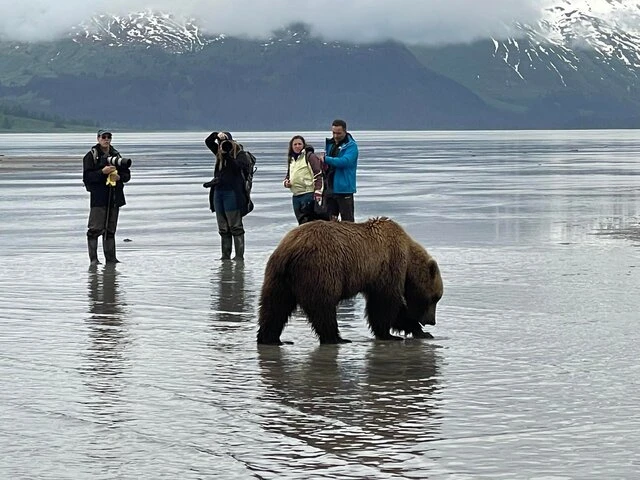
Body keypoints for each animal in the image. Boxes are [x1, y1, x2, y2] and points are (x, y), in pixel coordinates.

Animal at [256, 217, 443, 345]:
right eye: (434, 298)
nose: (432, 321)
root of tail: (291, 249)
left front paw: (421, 332)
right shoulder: (388, 265)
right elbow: (386, 303)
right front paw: (391, 334)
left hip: (278, 277)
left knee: (274, 307)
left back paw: (272, 339)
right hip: (320, 268)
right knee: (323, 307)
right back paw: (336, 338)